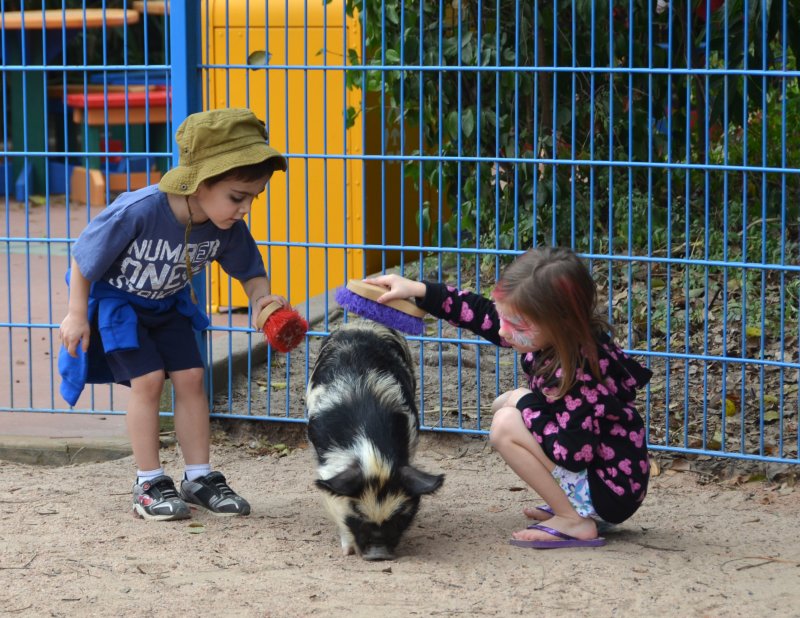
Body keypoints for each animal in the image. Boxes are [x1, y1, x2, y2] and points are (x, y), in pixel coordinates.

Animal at [304, 320, 444, 560]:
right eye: (357, 517)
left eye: (398, 519)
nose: (379, 555)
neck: (373, 452)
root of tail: (360, 323)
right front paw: (347, 551)